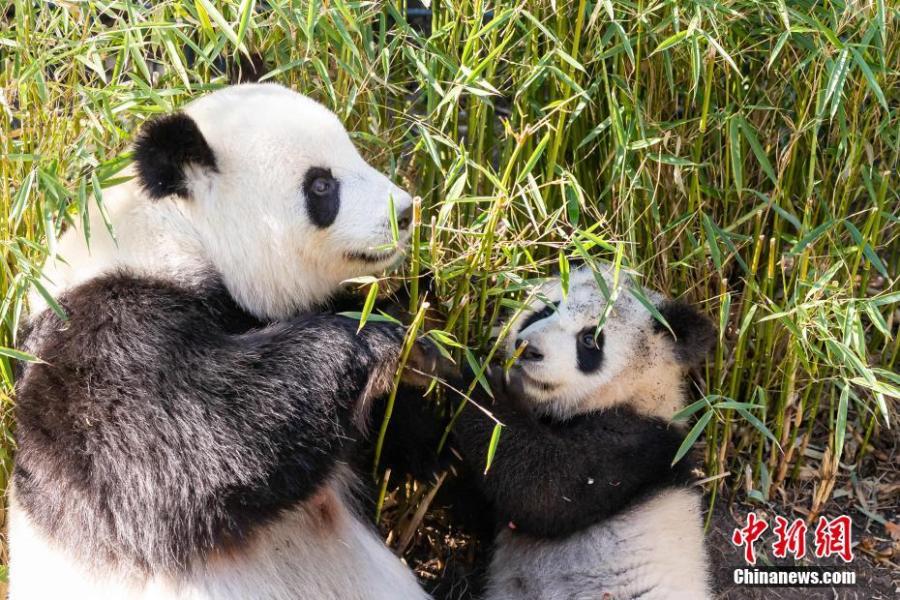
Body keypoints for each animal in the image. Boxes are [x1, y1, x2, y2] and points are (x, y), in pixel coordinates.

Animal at [8, 82, 438, 596]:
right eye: (321, 185)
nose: (406, 211)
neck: (174, 234)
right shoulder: (95, 341)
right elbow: (189, 449)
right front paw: (375, 334)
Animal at [454, 264, 712, 600]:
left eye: (589, 339)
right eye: (546, 310)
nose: (529, 349)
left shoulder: (638, 445)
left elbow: (547, 490)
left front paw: (486, 389)